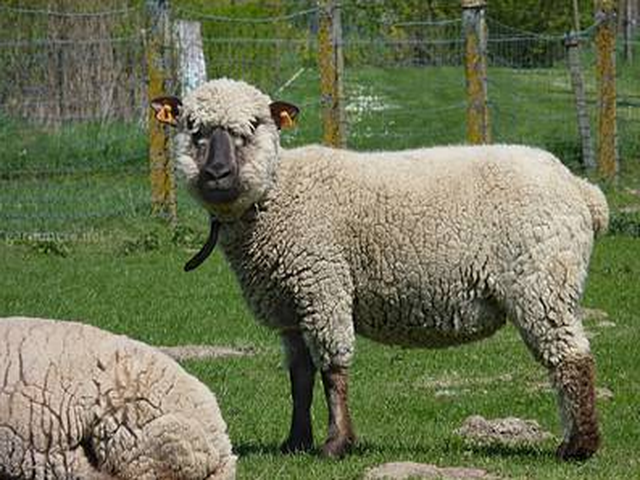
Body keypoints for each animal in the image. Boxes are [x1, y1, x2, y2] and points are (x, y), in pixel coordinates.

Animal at [151, 78, 609, 461]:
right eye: (193, 128)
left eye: (253, 126)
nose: (217, 172)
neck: (277, 193)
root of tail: (581, 190)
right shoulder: (290, 305)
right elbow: (300, 378)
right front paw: (295, 442)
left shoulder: (323, 283)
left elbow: (333, 370)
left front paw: (336, 444)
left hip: (541, 281)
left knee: (572, 359)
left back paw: (579, 447)